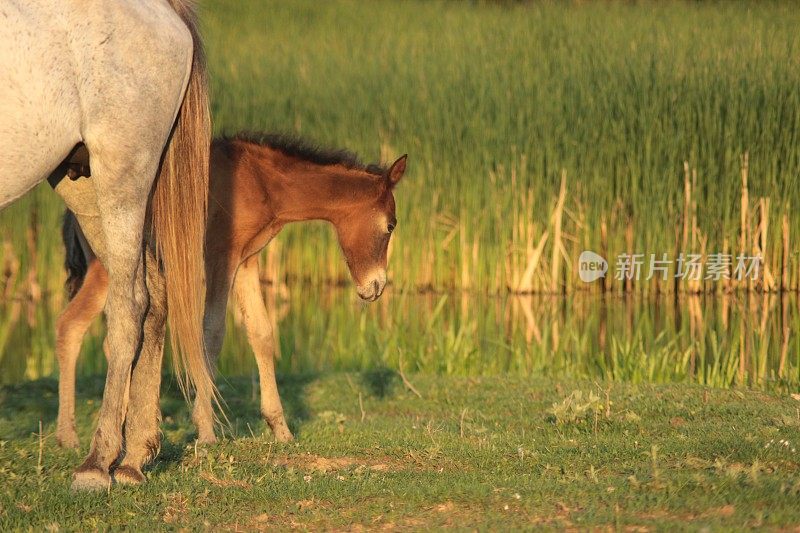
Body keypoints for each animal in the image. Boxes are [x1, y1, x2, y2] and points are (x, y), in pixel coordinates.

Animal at [0, 0, 212, 490]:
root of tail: (163, 9)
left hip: (123, 177)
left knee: (130, 305)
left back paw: (98, 463)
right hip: (82, 184)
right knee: (154, 295)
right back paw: (134, 458)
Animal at [56, 133, 406, 444]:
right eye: (391, 225)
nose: (376, 287)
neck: (259, 181)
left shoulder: (247, 261)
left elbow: (261, 332)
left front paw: (280, 428)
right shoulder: (220, 257)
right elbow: (212, 332)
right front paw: (206, 430)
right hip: (108, 269)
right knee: (70, 326)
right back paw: (68, 436)